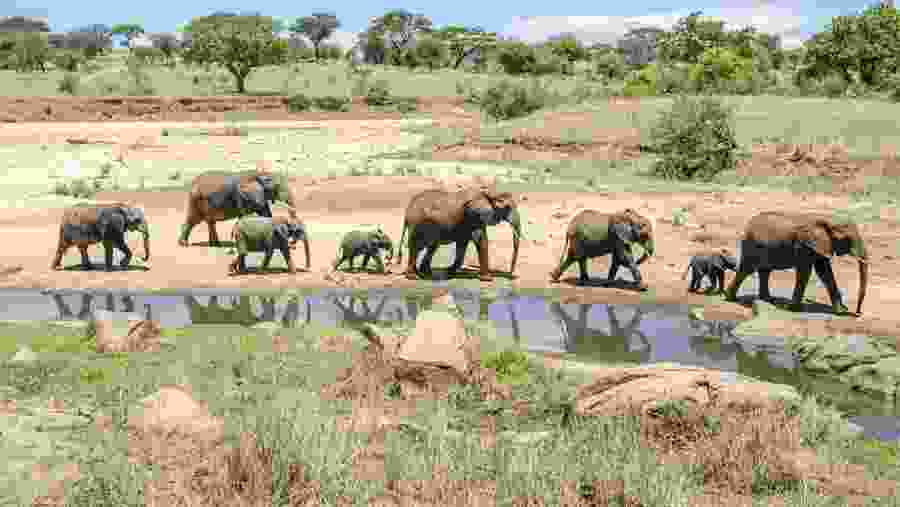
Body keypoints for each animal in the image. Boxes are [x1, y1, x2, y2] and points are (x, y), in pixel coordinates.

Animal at [724, 211, 868, 316]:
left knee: (764, 270)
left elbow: (825, 272)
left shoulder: (820, 246)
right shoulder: (804, 246)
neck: (824, 218)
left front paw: (841, 311)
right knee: (746, 269)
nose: (858, 312)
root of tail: (748, 224)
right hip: (751, 244)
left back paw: (768, 299)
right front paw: (792, 309)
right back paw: (730, 298)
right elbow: (805, 272)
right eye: (847, 239)